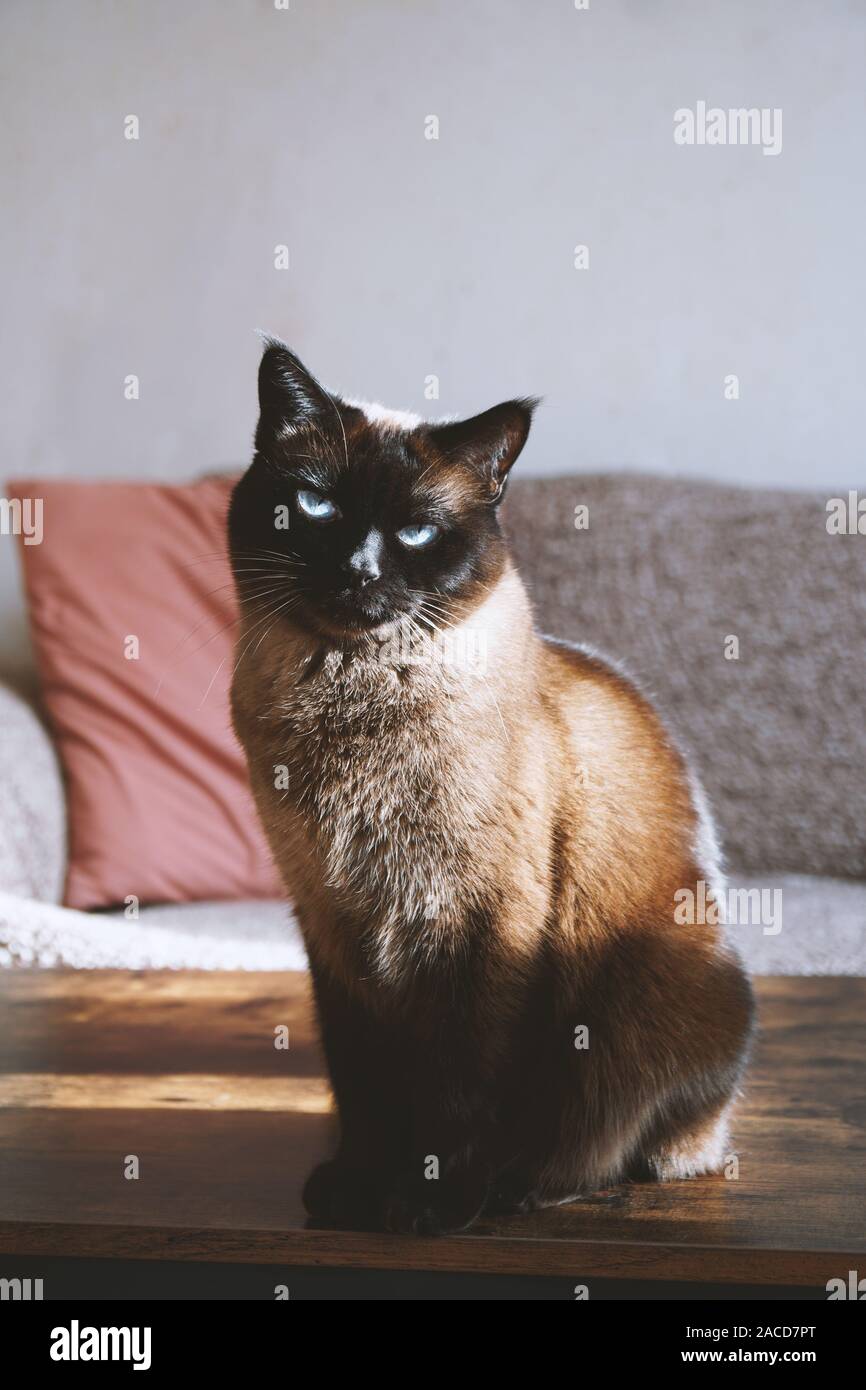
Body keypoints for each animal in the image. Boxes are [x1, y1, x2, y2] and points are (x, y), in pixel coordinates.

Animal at [226, 341, 756, 1234]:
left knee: (631, 1142)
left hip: (664, 998)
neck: (351, 707)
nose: (357, 570)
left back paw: (536, 1185)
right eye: (315, 504)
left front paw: (431, 1207)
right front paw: (356, 1192)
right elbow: (363, 1084)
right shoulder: (333, 924)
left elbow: (460, 1091)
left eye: (415, 530)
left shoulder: (476, 926)